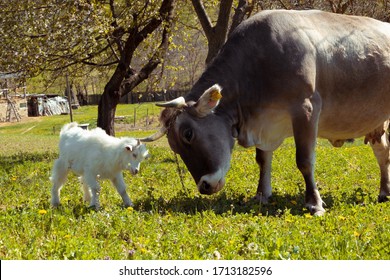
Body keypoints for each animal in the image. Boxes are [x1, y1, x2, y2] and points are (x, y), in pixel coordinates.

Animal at [142, 8, 390, 214]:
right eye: (174, 146)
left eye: (188, 134)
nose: (204, 186)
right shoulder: (264, 121)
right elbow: (262, 159)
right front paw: (261, 195)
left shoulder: (306, 107)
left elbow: (304, 160)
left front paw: (314, 203)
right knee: (382, 152)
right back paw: (384, 193)